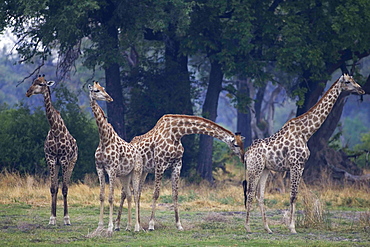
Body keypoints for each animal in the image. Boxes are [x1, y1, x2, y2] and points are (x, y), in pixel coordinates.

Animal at [25, 74, 78, 225]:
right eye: (33, 82)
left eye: (42, 84)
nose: (28, 92)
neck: (55, 130)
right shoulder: (51, 159)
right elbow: (53, 188)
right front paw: (52, 218)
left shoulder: (65, 159)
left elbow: (64, 188)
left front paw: (66, 218)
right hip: (58, 164)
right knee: (57, 186)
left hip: (71, 162)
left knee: (66, 186)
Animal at [86, 81, 143, 237]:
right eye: (96, 90)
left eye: (104, 89)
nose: (109, 98)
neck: (104, 139)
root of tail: (139, 154)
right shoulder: (99, 168)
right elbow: (101, 196)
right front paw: (99, 227)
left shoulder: (111, 169)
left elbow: (111, 197)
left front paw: (110, 227)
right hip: (125, 175)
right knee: (129, 195)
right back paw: (128, 226)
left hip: (136, 172)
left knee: (136, 195)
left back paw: (137, 227)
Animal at [114, 115, 244, 231]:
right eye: (236, 144)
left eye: (242, 144)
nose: (243, 158)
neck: (176, 133)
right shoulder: (160, 164)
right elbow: (156, 193)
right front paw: (151, 225)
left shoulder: (177, 165)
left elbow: (175, 194)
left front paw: (179, 225)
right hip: (129, 171)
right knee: (124, 193)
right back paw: (119, 226)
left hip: (143, 172)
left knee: (137, 192)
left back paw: (139, 226)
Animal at [243, 73, 364, 233]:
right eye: (348, 82)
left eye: (354, 80)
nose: (361, 90)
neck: (306, 133)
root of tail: (246, 154)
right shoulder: (296, 165)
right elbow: (293, 195)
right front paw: (292, 227)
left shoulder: (301, 166)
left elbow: (295, 195)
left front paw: (290, 225)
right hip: (254, 168)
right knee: (250, 193)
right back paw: (247, 227)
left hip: (265, 169)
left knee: (259, 195)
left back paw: (267, 228)